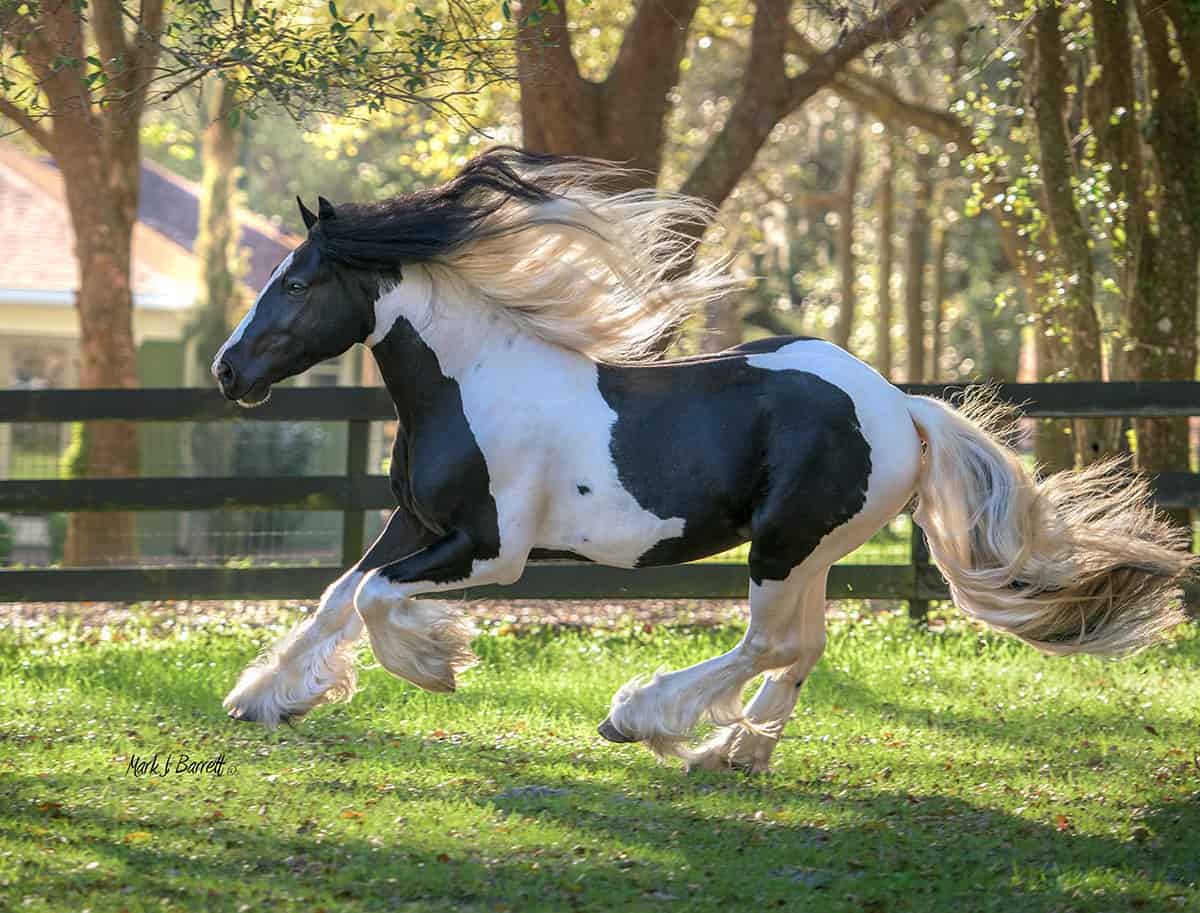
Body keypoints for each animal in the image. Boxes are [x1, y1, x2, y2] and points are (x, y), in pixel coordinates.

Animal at [212, 147, 1194, 772]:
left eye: (297, 282)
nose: (228, 372)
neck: (472, 384)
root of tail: (900, 407)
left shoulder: (490, 550)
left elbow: (375, 598)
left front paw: (434, 663)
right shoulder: (416, 523)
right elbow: (340, 592)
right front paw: (264, 698)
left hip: (784, 544)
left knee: (770, 640)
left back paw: (641, 718)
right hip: (815, 551)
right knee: (803, 645)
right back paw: (738, 751)